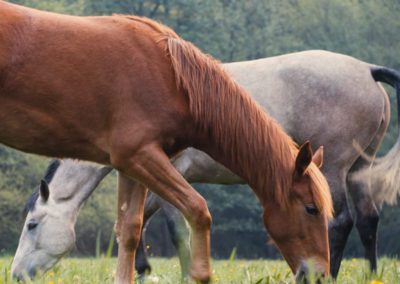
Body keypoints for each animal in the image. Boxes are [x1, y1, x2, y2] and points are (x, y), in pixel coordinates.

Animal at [3, 1, 332, 282]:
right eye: (311, 209)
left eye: (32, 225)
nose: (318, 275)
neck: (172, 78)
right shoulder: (142, 157)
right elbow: (197, 210)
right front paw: (198, 274)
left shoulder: (130, 166)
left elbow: (129, 230)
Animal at [12, 50, 400, 278]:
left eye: (32, 225)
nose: (16, 274)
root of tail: (366, 69)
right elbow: (135, 224)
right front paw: (143, 270)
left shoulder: (168, 172)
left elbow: (173, 227)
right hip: (357, 170)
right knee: (368, 221)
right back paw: (371, 274)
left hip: (331, 167)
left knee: (340, 222)